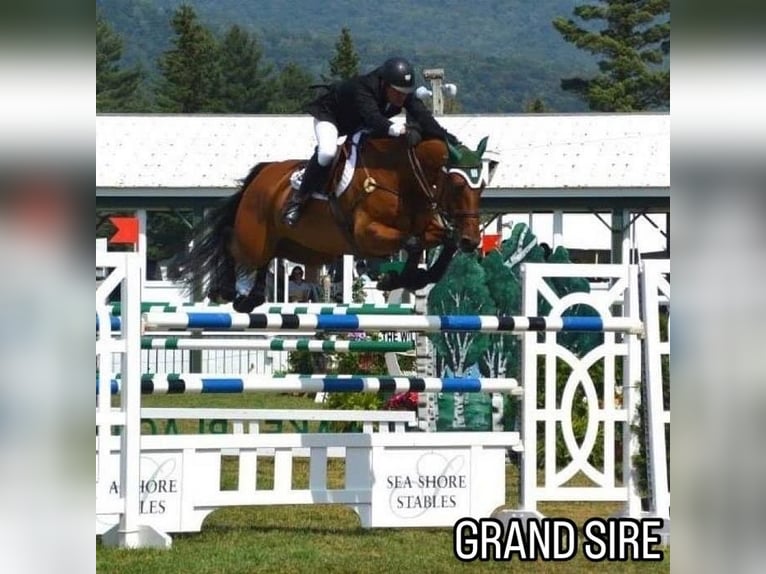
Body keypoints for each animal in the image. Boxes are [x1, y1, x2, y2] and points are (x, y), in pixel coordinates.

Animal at [178, 133, 492, 312]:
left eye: (482, 186)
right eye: (456, 185)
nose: (472, 240)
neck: (403, 179)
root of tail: (264, 173)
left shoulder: (426, 226)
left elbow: (440, 242)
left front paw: (412, 277)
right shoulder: (367, 233)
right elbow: (413, 243)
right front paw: (393, 277)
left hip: (298, 247)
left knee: (265, 259)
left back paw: (251, 297)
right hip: (254, 236)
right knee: (231, 240)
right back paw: (226, 290)